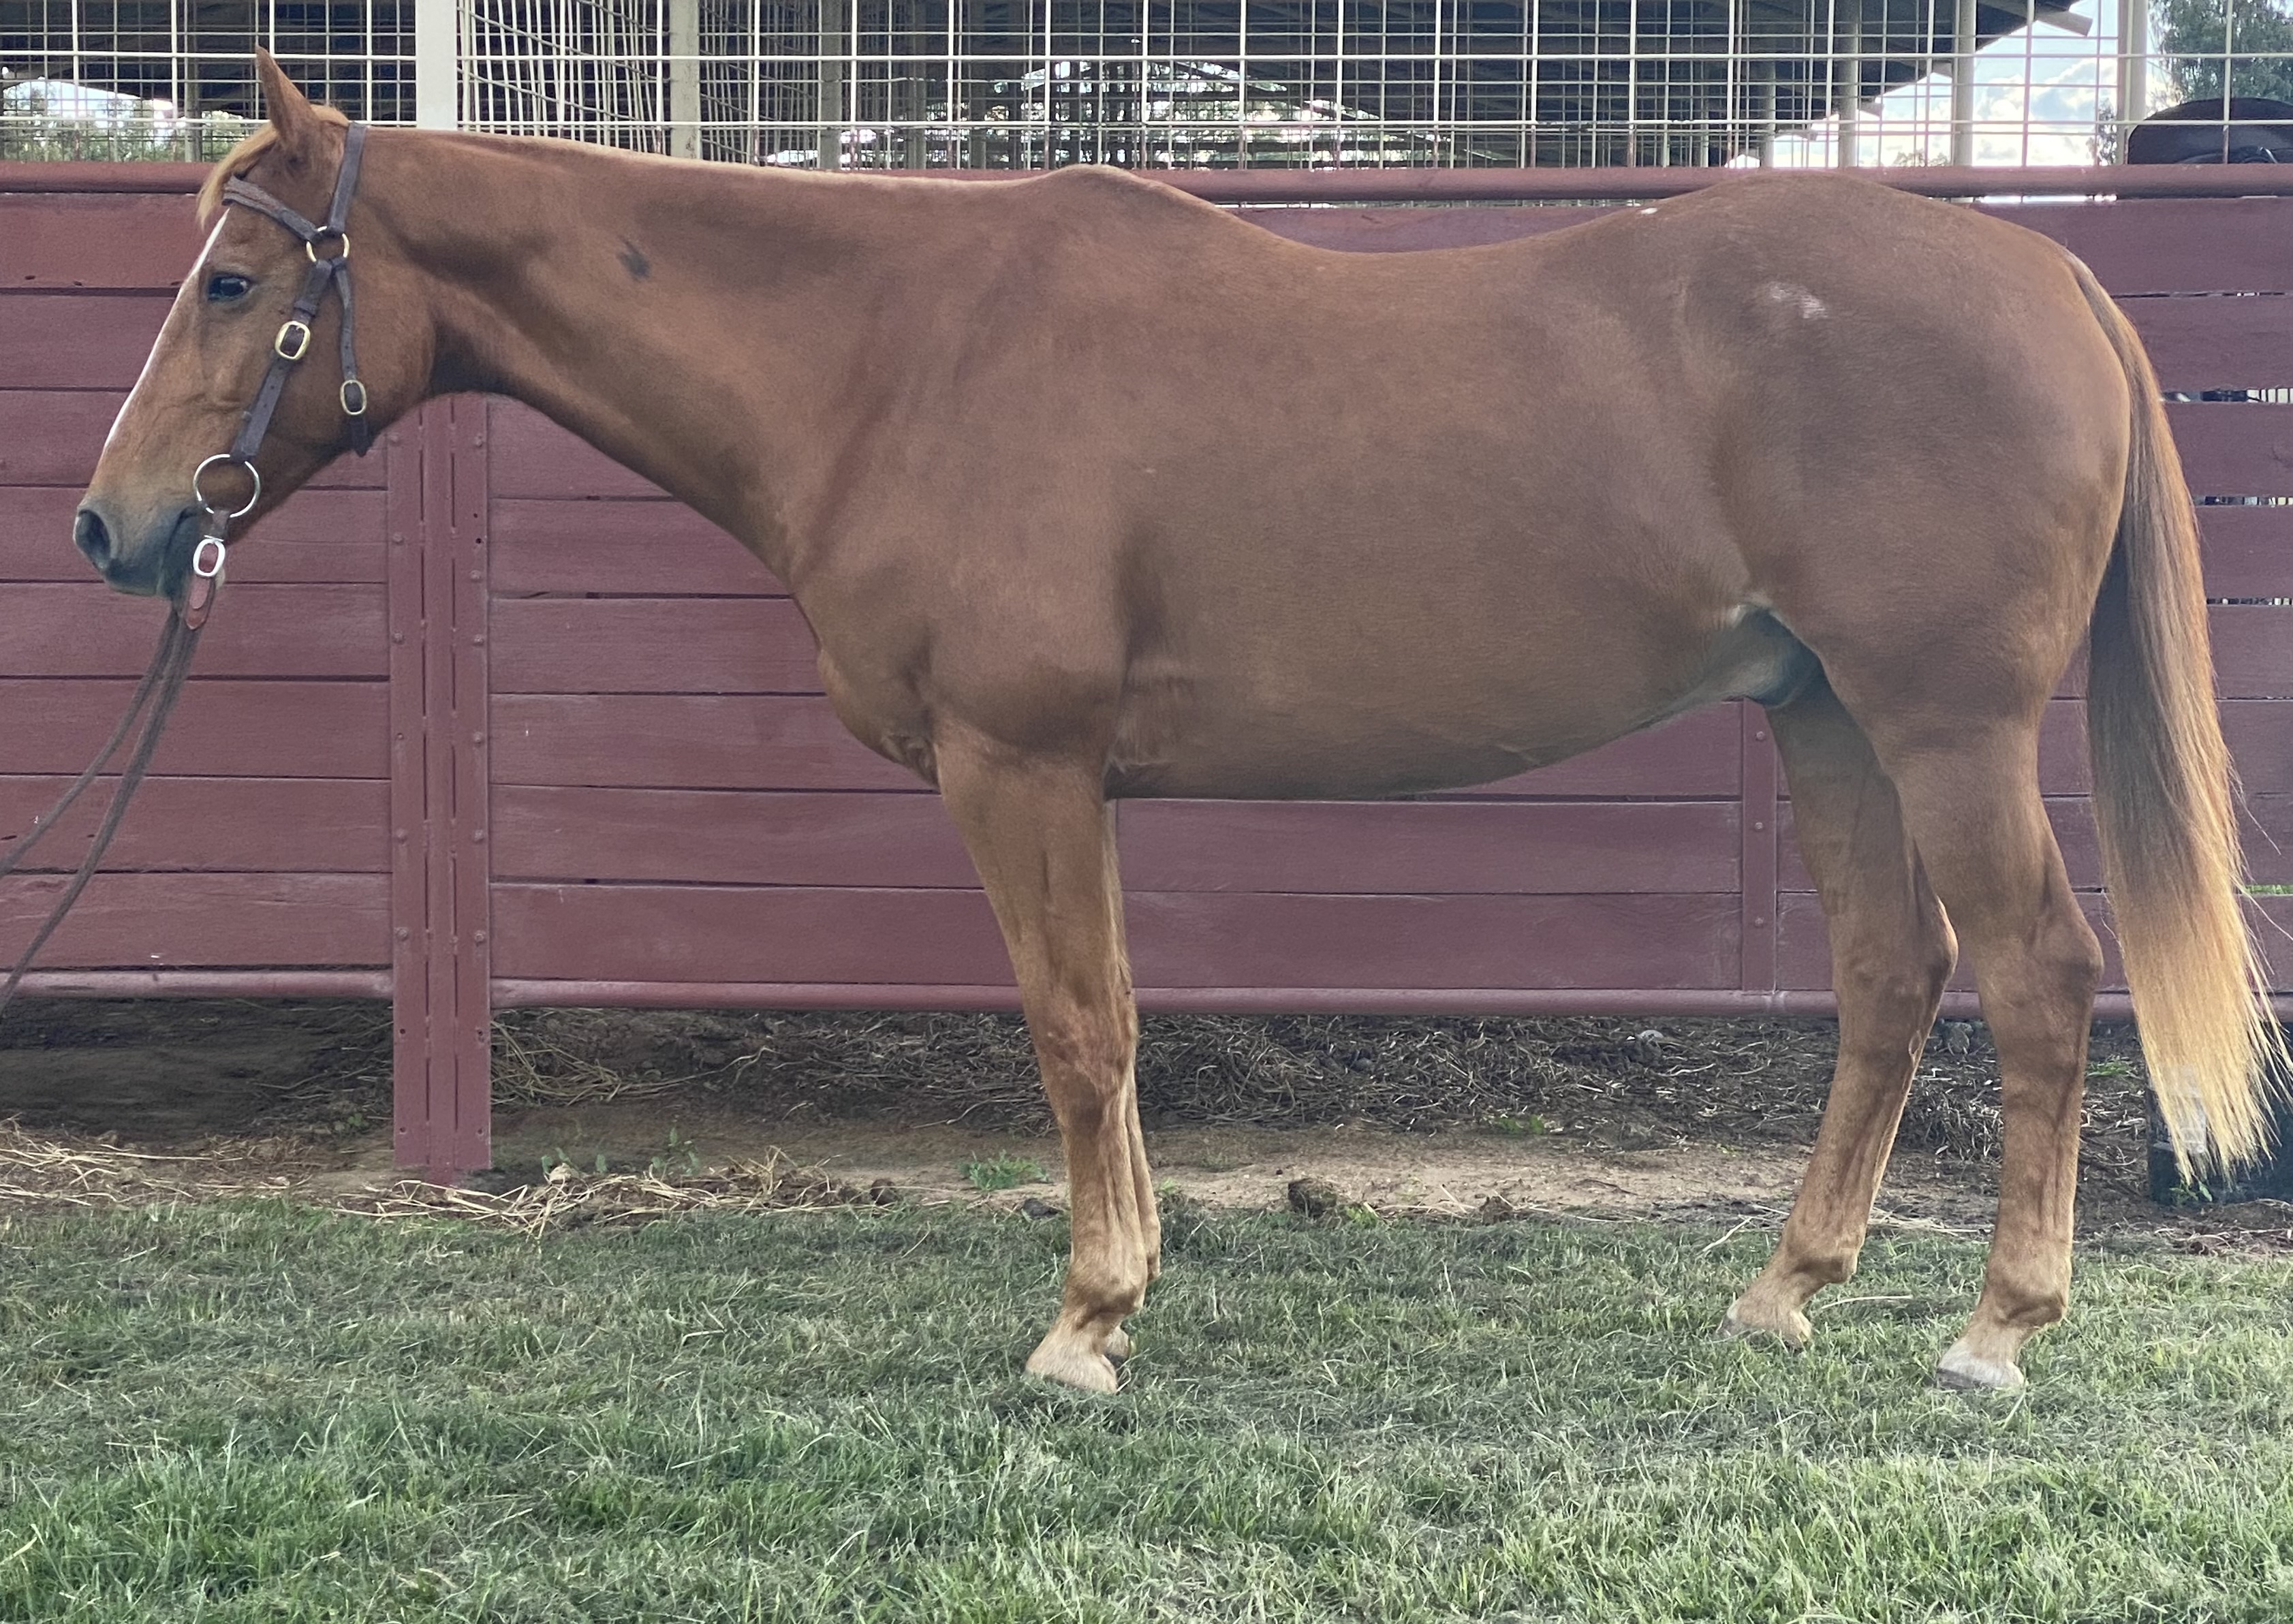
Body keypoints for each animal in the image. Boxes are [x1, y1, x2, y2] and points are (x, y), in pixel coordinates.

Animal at [75, 51, 2278, 1395]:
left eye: (232, 277)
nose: (114, 521)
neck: (896, 352)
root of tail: (2052, 276)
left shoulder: (1018, 765)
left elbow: (1074, 1029)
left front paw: (1082, 1326)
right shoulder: (1076, 782)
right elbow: (1114, 1024)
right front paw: (1119, 1288)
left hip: (1944, 723)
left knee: (2037, 973)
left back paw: (1993, 1329)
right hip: (1823, 717)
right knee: (1895, 978)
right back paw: (1781, 1289)